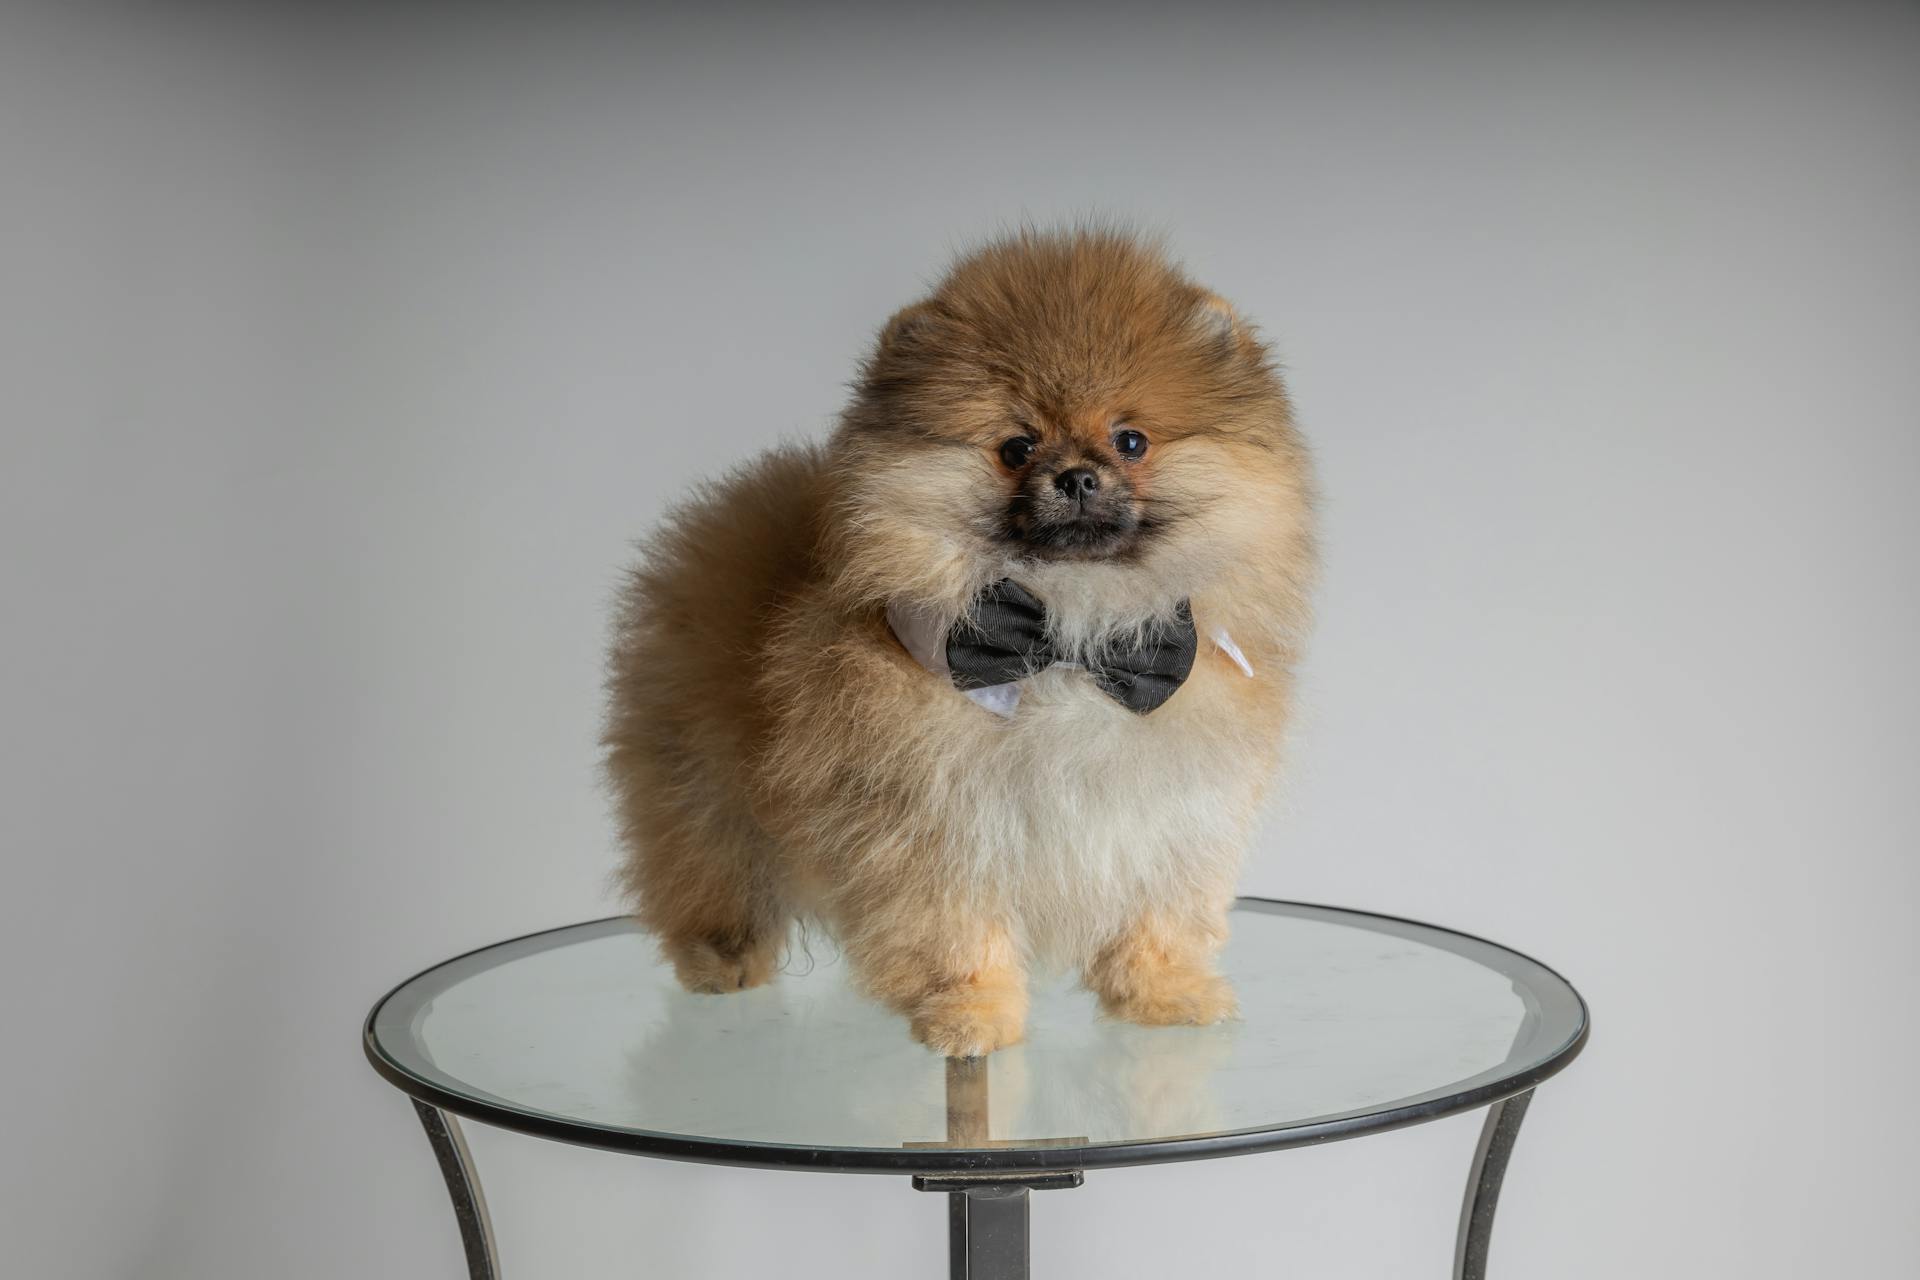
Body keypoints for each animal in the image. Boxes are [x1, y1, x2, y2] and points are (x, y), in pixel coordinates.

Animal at [606, 225, 1313, 1059]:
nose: (1077, 476)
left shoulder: (1172, 815)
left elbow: (1160, 914)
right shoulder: (932, 827)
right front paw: (970, 1015)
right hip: (703, 791)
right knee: (710, 868)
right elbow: (955, 933)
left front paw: (1164, 995)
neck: (1063, 639)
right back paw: (722, 961)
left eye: (1132, 440)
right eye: (1016, 447)